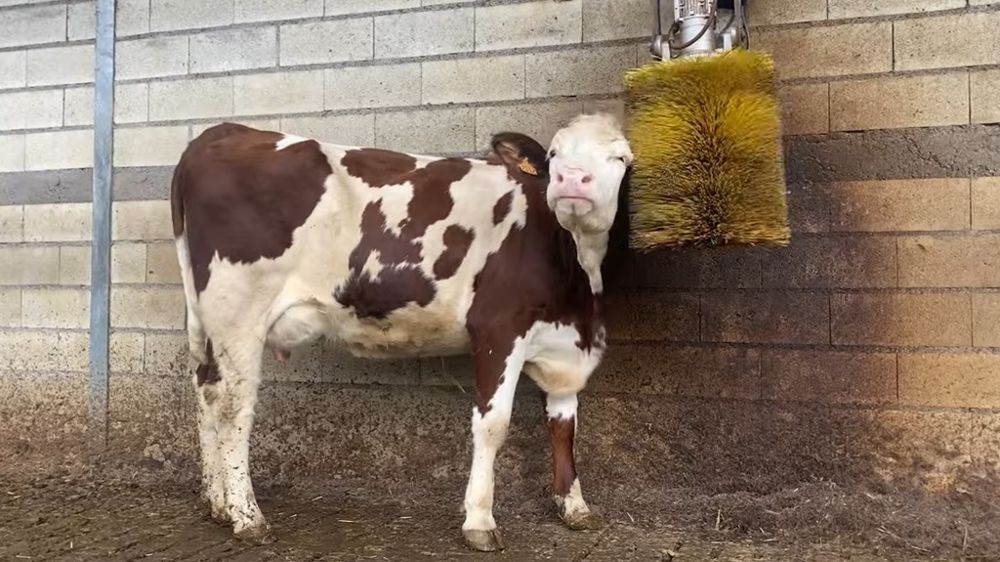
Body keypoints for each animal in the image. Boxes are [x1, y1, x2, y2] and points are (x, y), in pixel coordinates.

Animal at [170, 112, 634, 552]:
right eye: (553, 155)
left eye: (621, 158)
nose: (571, 180)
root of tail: (219, 133)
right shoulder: (497, 330)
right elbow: (492, 424)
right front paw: (480, 521)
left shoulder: (566, 345)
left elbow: (564, 425)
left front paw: (574, 506)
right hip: (239, 311)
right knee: (233, 406)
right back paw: (247, 516)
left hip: (205, 319)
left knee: (206, 390)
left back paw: (218, 503)